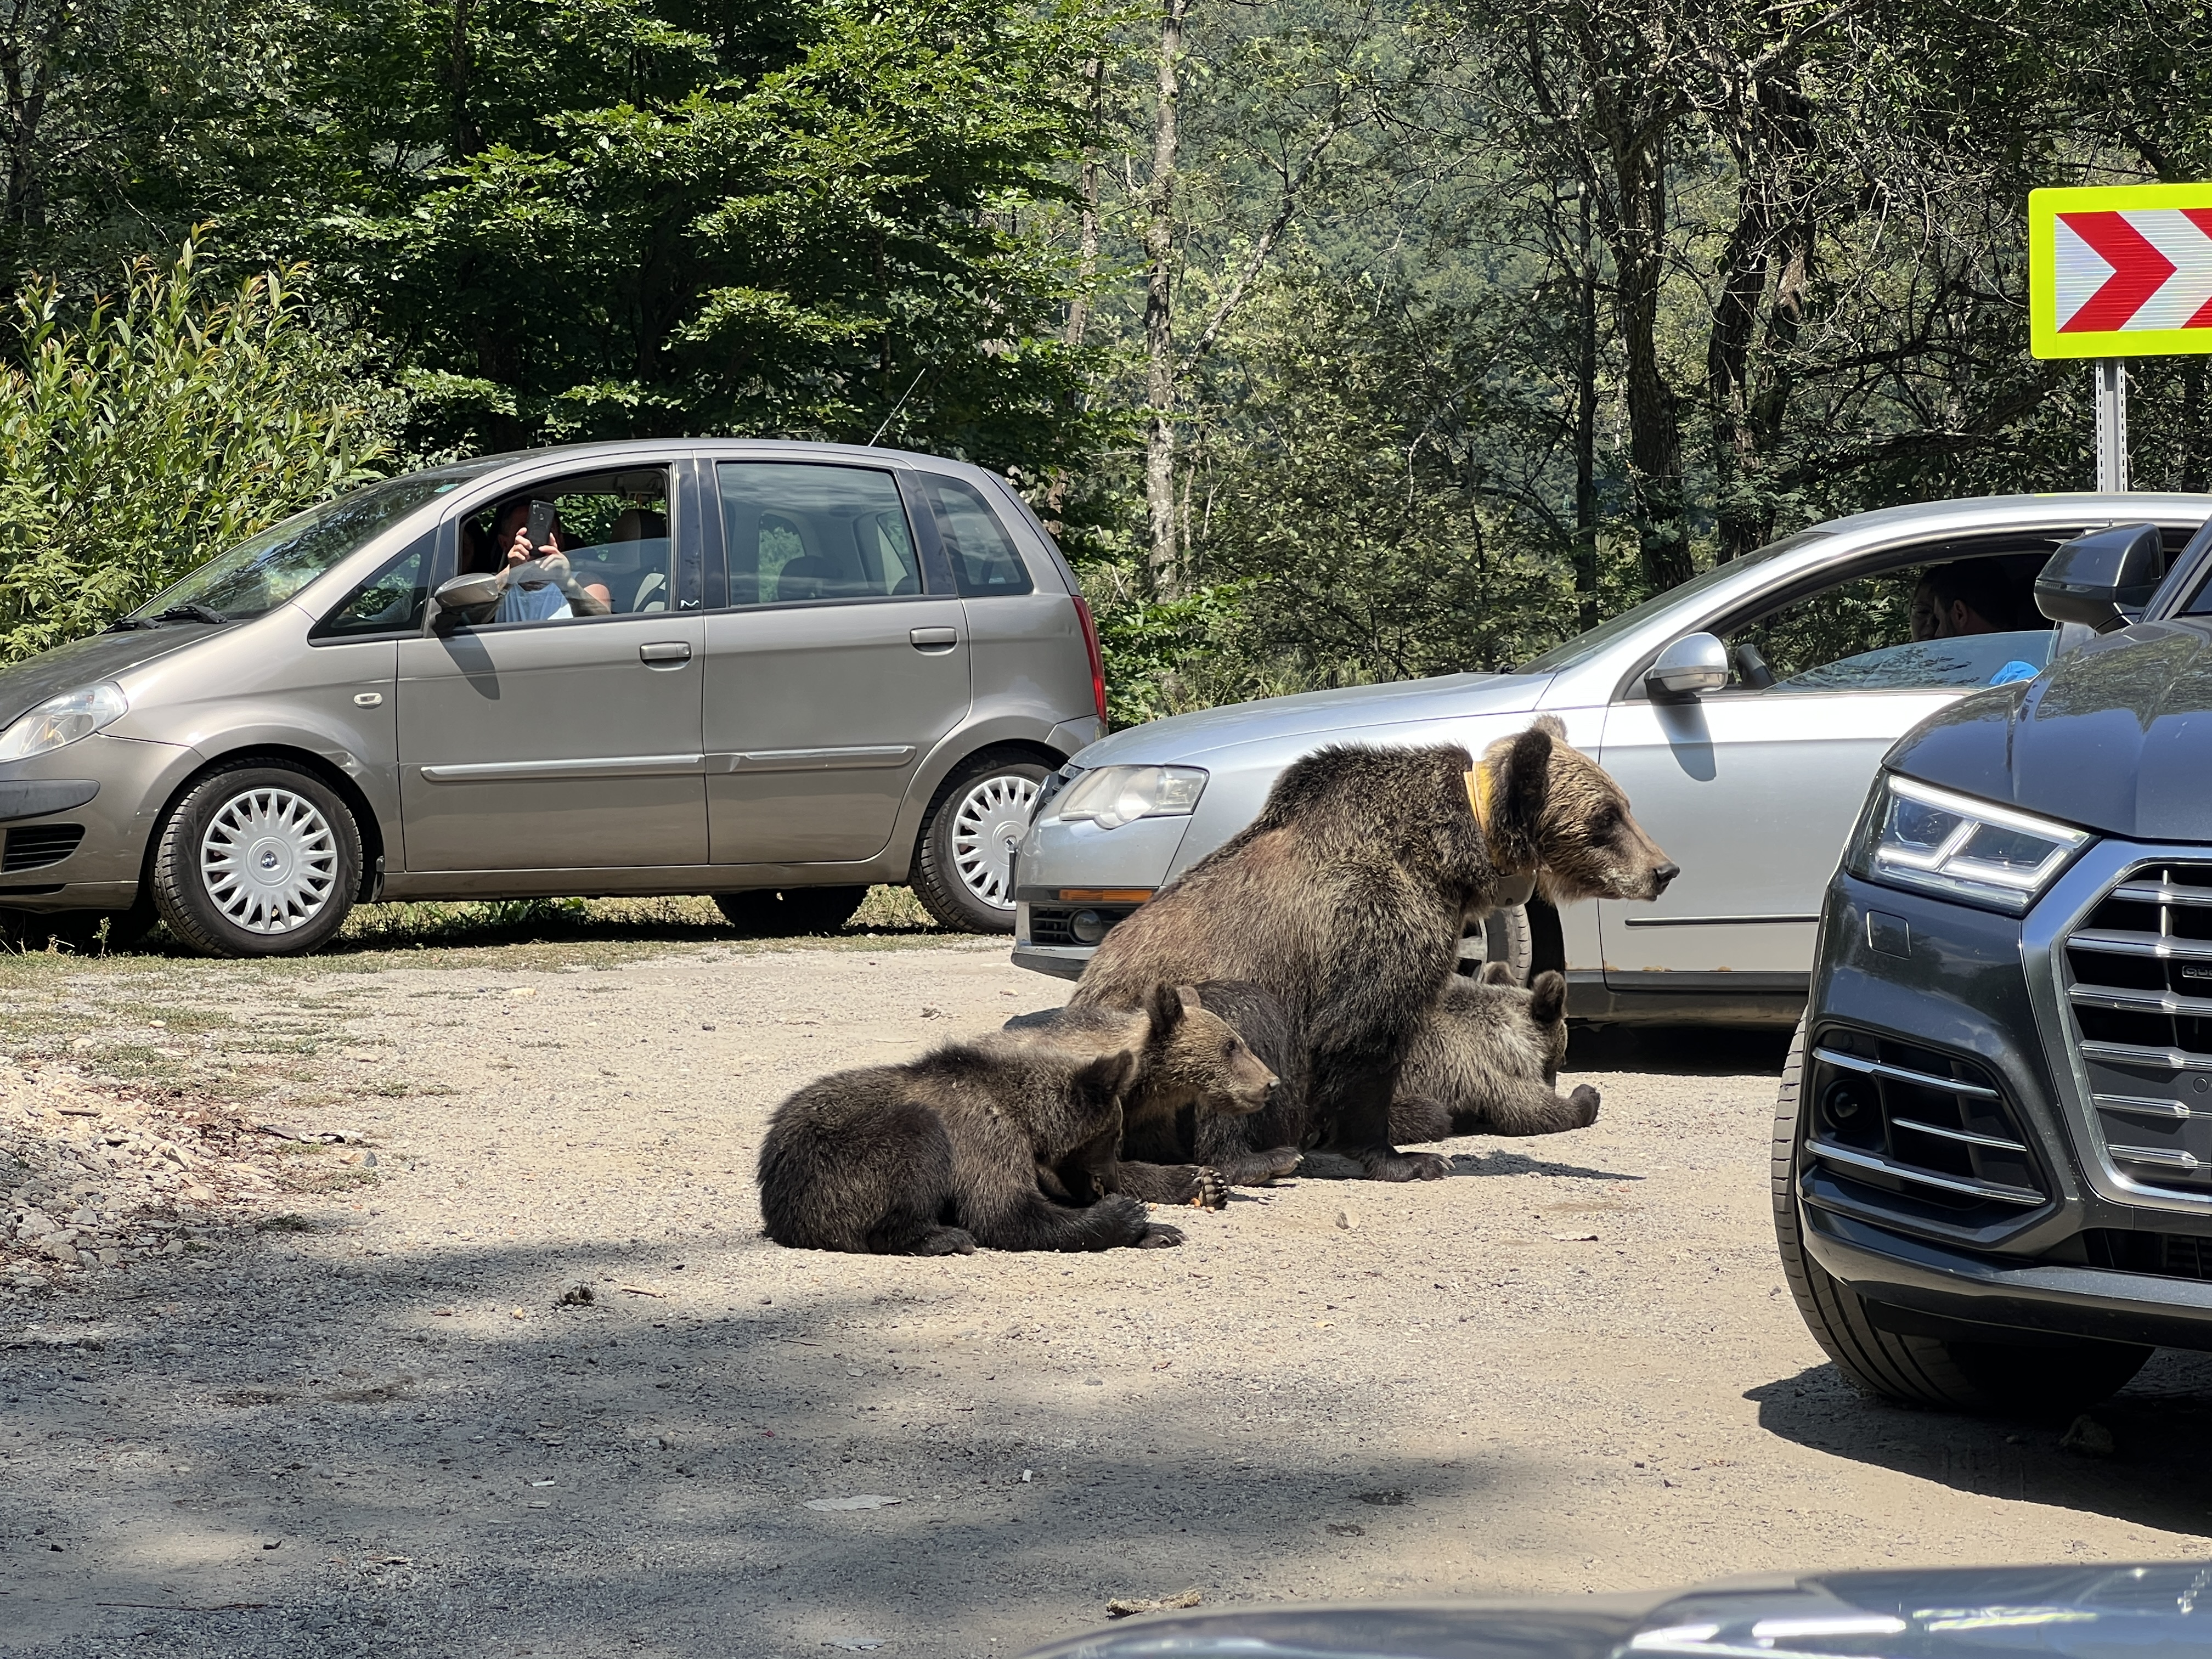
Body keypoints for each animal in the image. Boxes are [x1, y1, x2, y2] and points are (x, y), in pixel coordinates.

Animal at [755, 1037, 1185, 1255]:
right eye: (1114, 1136)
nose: (1109, 1184)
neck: (1027, 1119)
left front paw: (1162, 1222)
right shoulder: (985, 1133)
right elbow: (1004, 1214)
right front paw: (1126, 1214)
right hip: (837, 1164)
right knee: (915, 1139)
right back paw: (942, 1237)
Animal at [1006, 980, 1296, 1206]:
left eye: (1238, 1043)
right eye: (1231, 1046)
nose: (1271, 1082)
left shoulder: (1149, 1118)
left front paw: (1213, 1184)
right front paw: (1197, 1179)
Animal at [1389, 963, 1601, 1144]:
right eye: (1558, 1060)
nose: (1552, 1087)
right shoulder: (1496, 1060)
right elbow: (1531, 1110)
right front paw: (1589, 1095)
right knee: (1431, 1115)